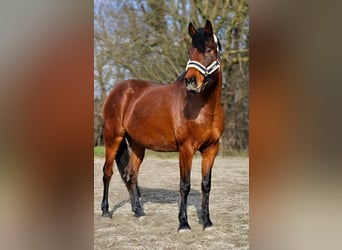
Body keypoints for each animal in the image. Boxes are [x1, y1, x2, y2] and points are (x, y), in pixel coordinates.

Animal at [101, 20, 224, 231]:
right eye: (190, 51)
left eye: (209, 49)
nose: (191, 81)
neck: (203, 107)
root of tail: (118, 90)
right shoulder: (186, 148)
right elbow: (185, 185)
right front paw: (183, 224)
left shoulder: (211, 149)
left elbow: (206, 185)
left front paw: (207, 222)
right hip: (113, 138)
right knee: (107, 172)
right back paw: (105, 211)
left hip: (137, 145)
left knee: (131, 174)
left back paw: (139, 212)